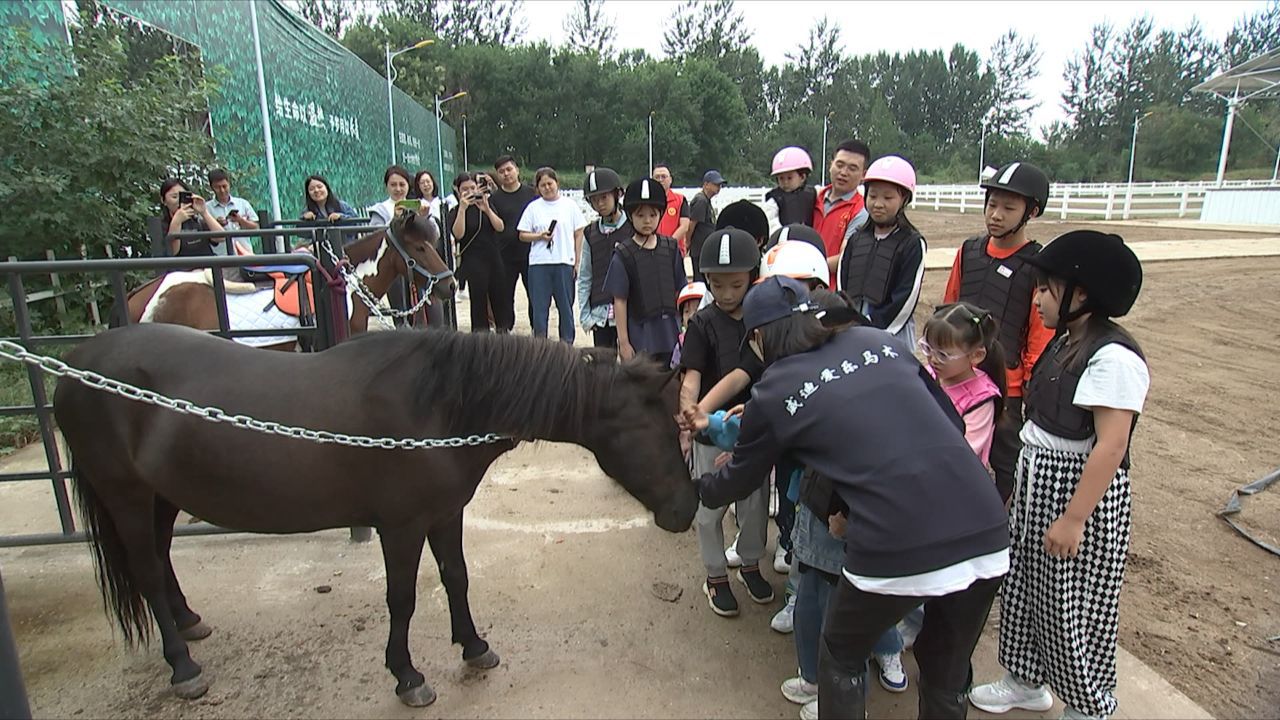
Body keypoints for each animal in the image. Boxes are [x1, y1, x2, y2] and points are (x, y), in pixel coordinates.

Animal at [52, 322, 701, 702]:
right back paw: (183, 666)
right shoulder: (402, 527)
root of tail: (79, 363)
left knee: (161, 561)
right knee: (145, 572)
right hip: (127, 496)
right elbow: (404, 598)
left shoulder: (445, 515)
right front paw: (407, 675)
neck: (440, 406)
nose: (687, 508)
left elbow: (457, 578)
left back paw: (188, 622)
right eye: (662, 429)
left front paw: (474, 647)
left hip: (161, 496)